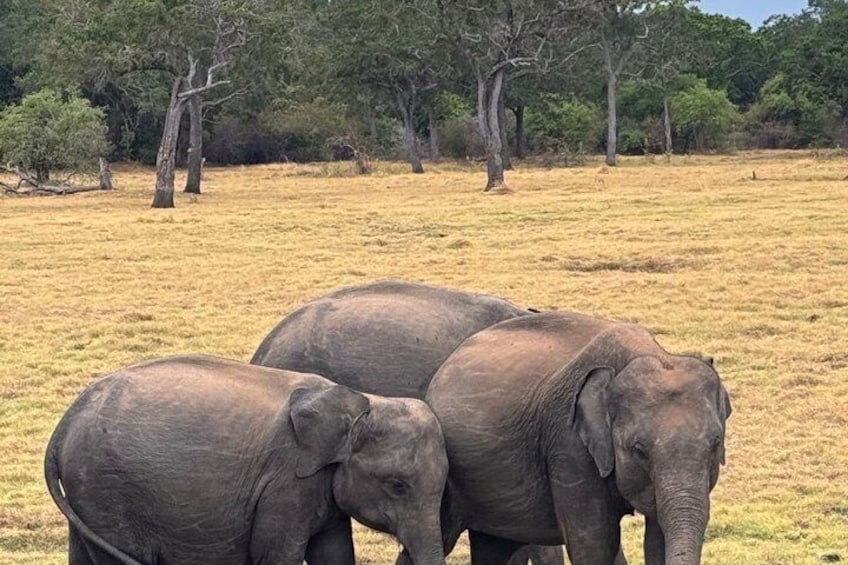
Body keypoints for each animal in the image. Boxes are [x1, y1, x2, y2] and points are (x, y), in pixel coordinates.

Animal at [45, 355, 448, 565]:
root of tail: (64, 424)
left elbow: (333, 553)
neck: (363, 402)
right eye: (397, 486)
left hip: (88, 495)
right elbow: (277, 555)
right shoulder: (287, 483)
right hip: (106, 488)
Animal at [425, 311, 732, 565]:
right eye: (639, 450)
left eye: (715, 444)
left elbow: (658, 538)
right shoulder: (567, 444)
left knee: (495, 546)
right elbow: (593, 545)